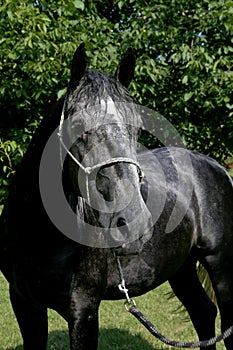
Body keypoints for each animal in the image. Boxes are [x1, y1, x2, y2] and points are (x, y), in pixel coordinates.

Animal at [0, 44, 233, 350]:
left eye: (137, 128)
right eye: (79, 126)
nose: (133, 223)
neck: (37, 234)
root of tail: (216, 166)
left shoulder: (84, 310)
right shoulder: (25, 304)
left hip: (221, 265)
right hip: (181, 267)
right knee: (203, 311)